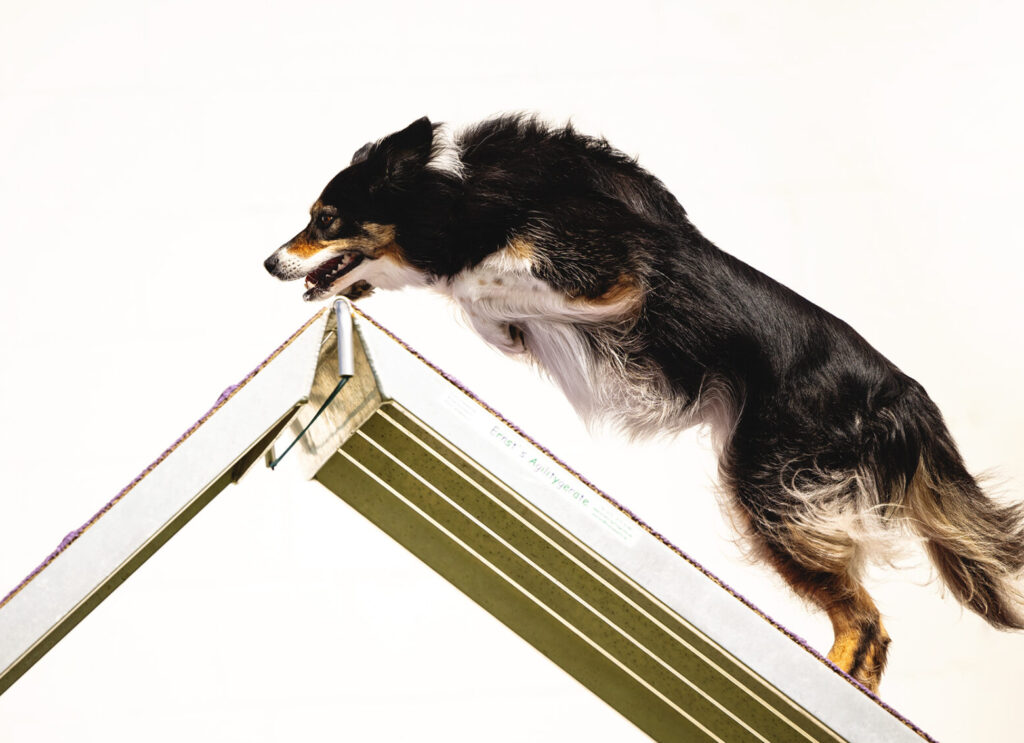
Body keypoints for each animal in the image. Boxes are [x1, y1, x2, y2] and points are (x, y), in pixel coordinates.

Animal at [262, 115, 1024, 691]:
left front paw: (497, 312)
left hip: (771, 486)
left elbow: (485, 279)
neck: (455, 193)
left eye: (325, 220)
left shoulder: (605, 271)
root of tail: (905, 393)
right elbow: (488, 305)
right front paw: (508, 332)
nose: (268, 263)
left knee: (865, 623)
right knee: (870, 631)